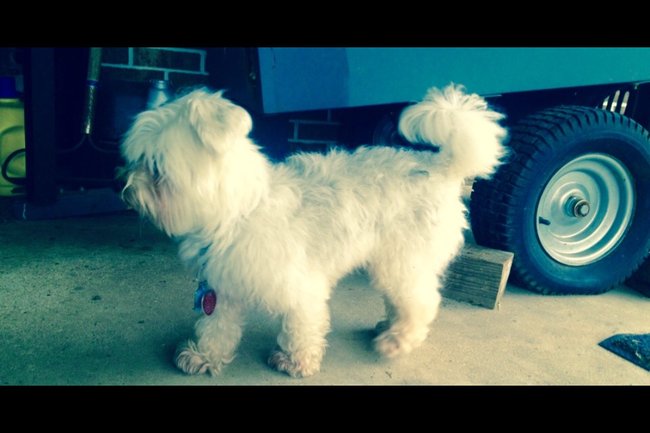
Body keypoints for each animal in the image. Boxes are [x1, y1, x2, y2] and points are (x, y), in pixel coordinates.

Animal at [120, 84, 507, 378]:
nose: (123, 189)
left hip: (402, 263)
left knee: (423, 301)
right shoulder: (223, 289)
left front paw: (296, 361)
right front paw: (205, 356)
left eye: (155, 168)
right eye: (134, 160)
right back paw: (389, 326)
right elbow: (217, 327)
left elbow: (301, 327)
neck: (239, 211)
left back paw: (398, 339)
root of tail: (440, 166)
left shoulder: (301, 288)